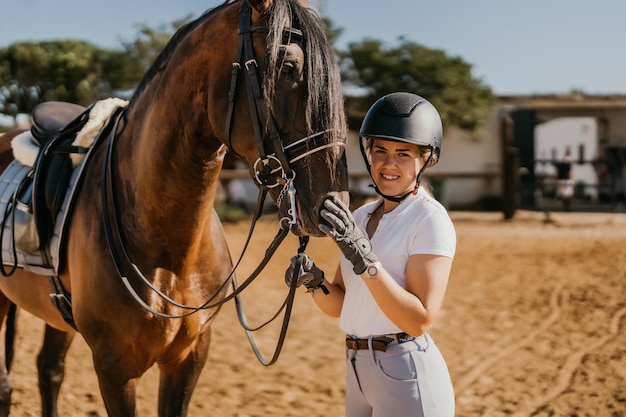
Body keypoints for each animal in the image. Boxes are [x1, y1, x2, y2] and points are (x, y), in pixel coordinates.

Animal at [0, 0, 346, 414]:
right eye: (287, 67)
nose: (332, 203)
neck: (170, 250)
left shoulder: (188, 357)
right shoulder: (114, 368)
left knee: (49, 370)